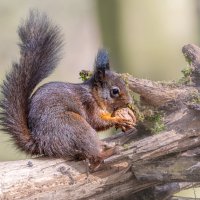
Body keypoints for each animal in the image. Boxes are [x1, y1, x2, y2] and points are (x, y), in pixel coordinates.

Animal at [0, 9, 136, 169]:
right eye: (114, 91)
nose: (129, 101)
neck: (94, 95)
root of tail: (41, 142)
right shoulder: (89, 105)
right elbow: (97, 122)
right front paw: (119, 119)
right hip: (75, 125)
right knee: (94, 155)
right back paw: (110, 151)